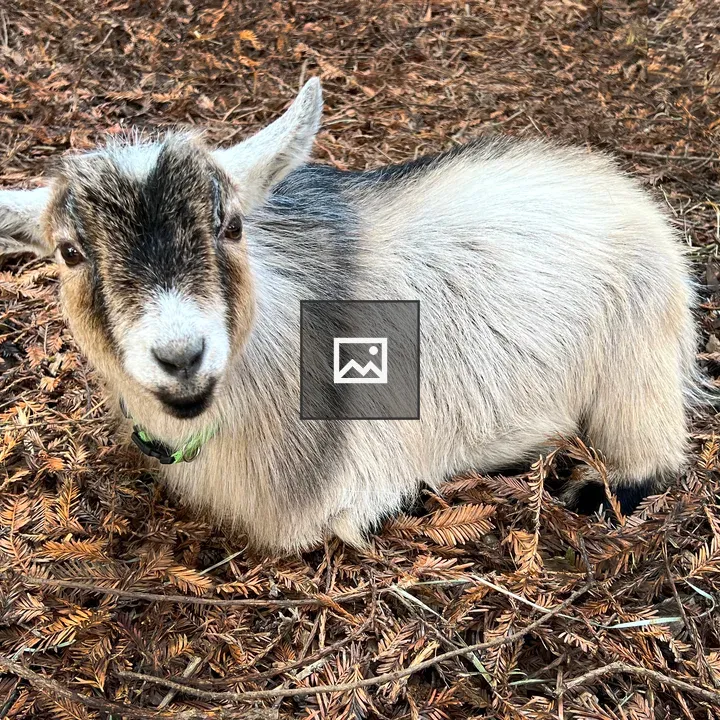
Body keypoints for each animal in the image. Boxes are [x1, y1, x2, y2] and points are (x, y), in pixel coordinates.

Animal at [0, 78, 705, 551]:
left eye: (231, 225)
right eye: (69, 252)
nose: (182, 355)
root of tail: (623, 189)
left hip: (636, 363)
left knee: (656, 459)